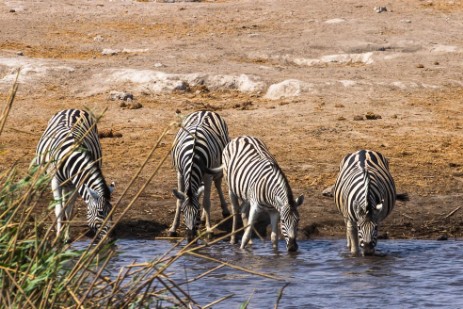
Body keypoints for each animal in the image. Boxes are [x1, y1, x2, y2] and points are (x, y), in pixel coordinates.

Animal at [34, 109, 114, 242]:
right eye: (100, 212)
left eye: (112, 212)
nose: (111, 239)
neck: (70, 155)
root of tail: (73, 109)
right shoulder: (55, 181)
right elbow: (59, 210)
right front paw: (58, 237)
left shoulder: (77, 184)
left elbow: (69, 210)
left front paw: (66, 236)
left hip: (68, 184)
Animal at [169, 109, 231, 242]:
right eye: (183, 211)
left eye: (196, 210)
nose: (190, 237)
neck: (193, 154)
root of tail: (205, 110)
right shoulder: (180, 173)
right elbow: (179, 201)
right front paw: (173, 228)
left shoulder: (207, 174)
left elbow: (206, 202)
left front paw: (209, 230)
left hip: (217, 166)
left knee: (217, 184)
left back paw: (224, 210)